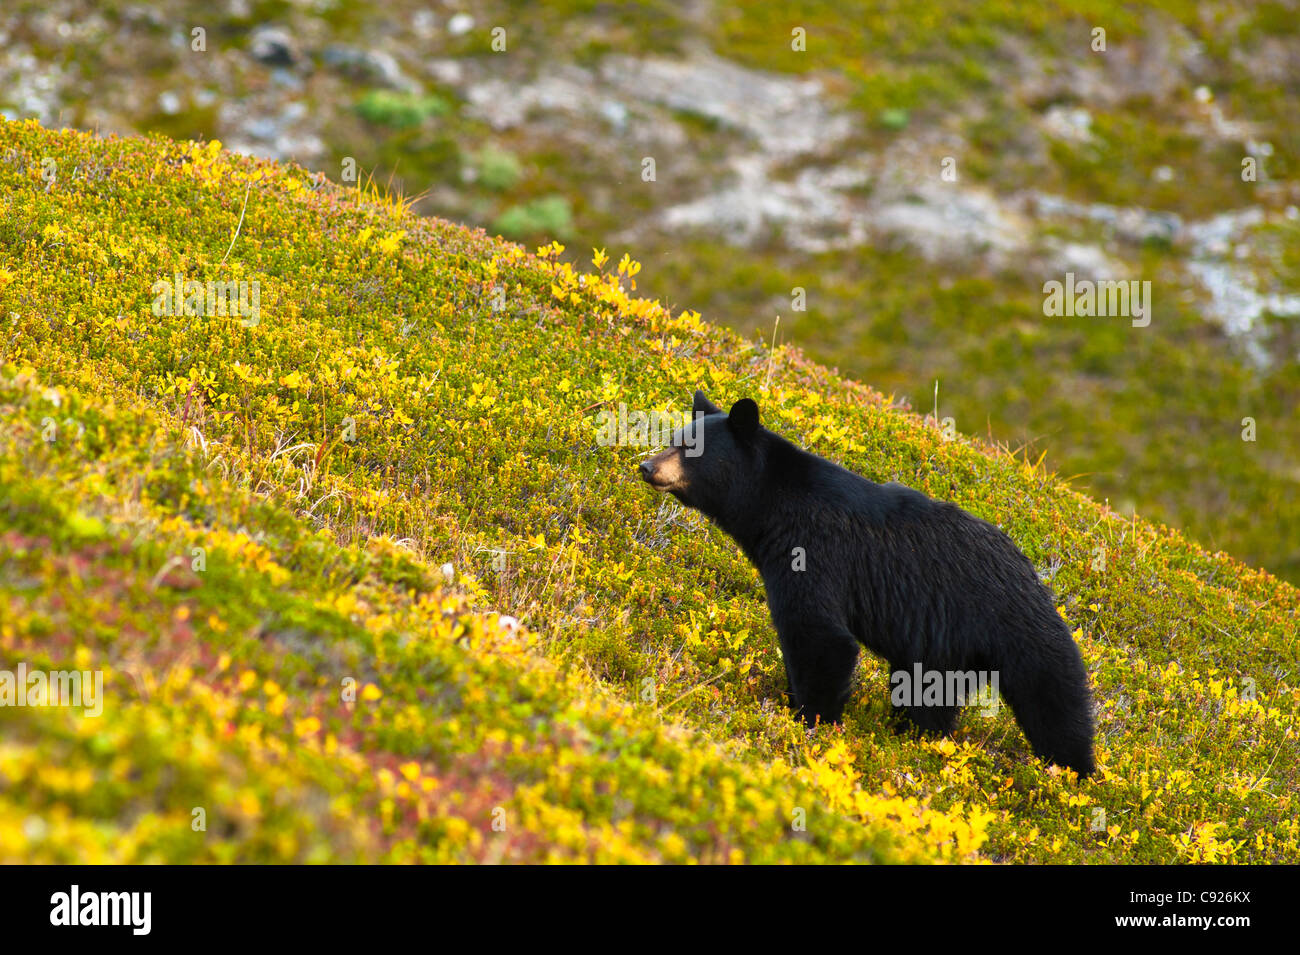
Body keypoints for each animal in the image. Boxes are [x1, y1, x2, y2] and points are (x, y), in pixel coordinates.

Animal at [638, 391, 1095, 777]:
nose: (647, 466)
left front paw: (809, 720)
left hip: (1015, 629)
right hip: (942, 650)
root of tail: (1037, 576)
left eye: (689, 447)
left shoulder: (813, 550)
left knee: (1055, 700)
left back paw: (1073, 774)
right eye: (675, 438)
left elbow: (820, 635)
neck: (771, 507)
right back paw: (918, 739)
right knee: (926, 694)